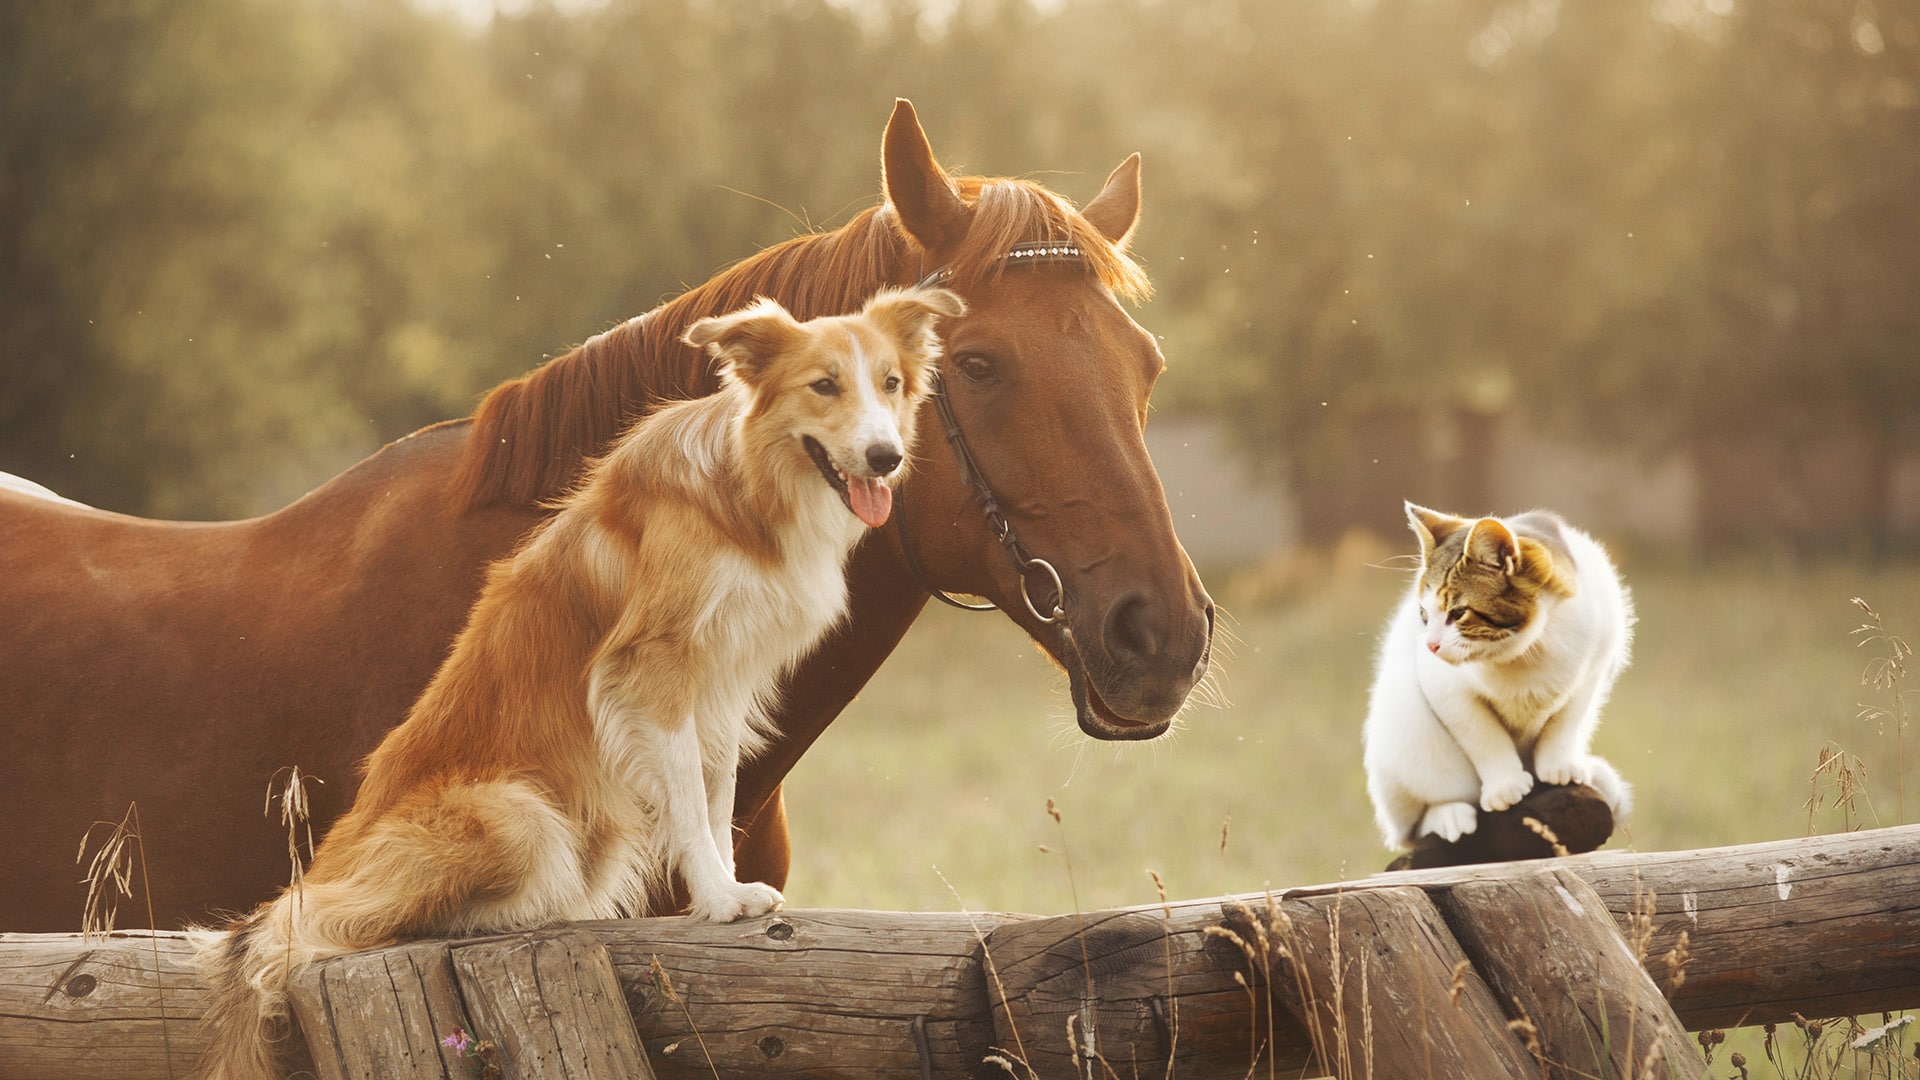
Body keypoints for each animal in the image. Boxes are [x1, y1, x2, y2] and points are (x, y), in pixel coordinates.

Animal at [194, 284, 960, 1076]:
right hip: (520, 816)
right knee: (309, 927)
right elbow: (689, 799)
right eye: (824, 385)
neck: (746, 489)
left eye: (891, 383)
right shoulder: (655, 668)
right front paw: (718, 900)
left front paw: (724, 891)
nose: (886, 456)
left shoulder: (723, 681)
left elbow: (716, 795)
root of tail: (330, 863)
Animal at [1367, 503, 1635, 849]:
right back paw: (1448, 815)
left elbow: (1566, 721)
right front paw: (1504, 784)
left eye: (1457, 613)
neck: (1522, 651)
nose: (1430, 645)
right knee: (1414, 826)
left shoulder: (1594, 668)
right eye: (1424, 615)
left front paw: (1558, 764)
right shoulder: (1447, 690)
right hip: (1404, 721)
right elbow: (1484, 737)